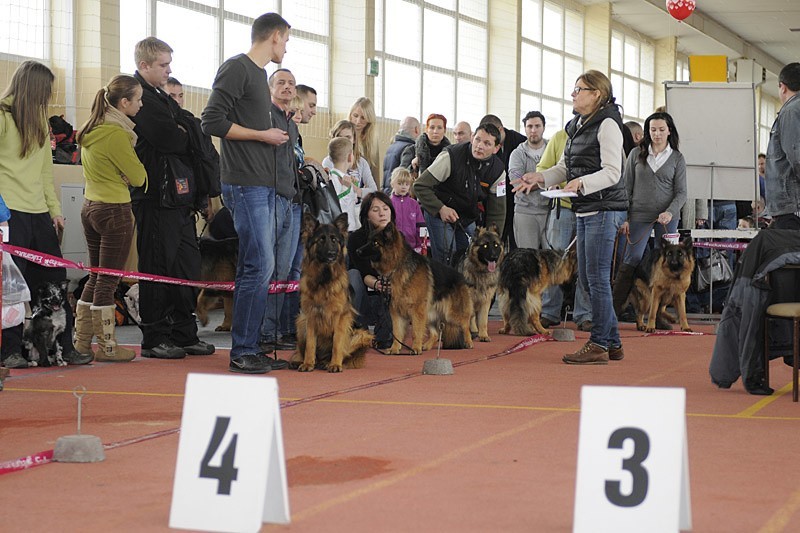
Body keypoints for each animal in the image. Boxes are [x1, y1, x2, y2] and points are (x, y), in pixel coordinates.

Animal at [290, 211, 374, 370]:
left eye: (334, 240)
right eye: (321, 240)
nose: (331, 254)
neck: (324, 280)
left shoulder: (341, 317)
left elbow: (337, 343)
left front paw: (335, 364)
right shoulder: (310, 316)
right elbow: (310, 344)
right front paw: (308, 363)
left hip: (361, 334)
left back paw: (328, 362)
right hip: (300, 321)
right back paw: (303, 360)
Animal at [356, 220, 476, 354]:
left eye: (375, 243)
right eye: (367, 241)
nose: (357, 251)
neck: (398, 265)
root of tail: (460, 276)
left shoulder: (417, 310)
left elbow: (416, 331)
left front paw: (415, 348)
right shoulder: (396, 311)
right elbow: (397, 332)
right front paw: (395, 349)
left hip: (450, 313)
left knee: (465, 324)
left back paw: (469, 342)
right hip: (430, 313)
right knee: (435, 334)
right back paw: (427, 346)